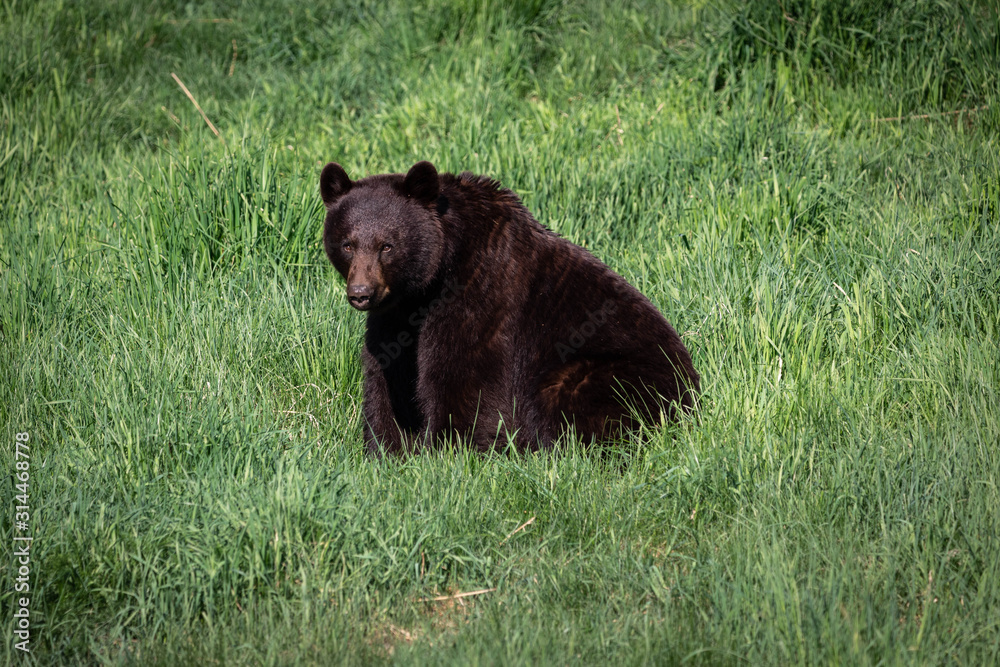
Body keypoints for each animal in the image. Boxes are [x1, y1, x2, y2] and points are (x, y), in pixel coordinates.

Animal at [320, 160, 699, 454]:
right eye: (348, 244)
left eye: (387, 245)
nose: (361, 293)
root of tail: (692, 394)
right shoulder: (395, 316)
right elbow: (385, 373)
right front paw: (384, 449)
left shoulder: (481, 293)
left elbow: (463, 373)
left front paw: (450, 449)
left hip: (617, 376)